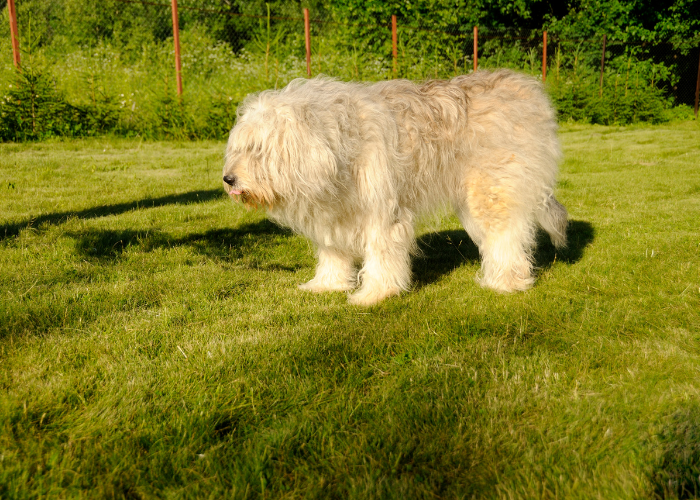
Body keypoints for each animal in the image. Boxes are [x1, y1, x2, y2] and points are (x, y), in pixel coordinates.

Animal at [224, 70, 568, 304]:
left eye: (258, 149)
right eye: (238, 148)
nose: (228, 180)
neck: (337, 146)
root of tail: (527, 90)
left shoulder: (381, 211)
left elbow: (381, 253)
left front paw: (374, 294)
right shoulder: (334, 213)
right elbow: (333, 252)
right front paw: (327, 284)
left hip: (491, 191)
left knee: (506, 237)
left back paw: (506, 281)